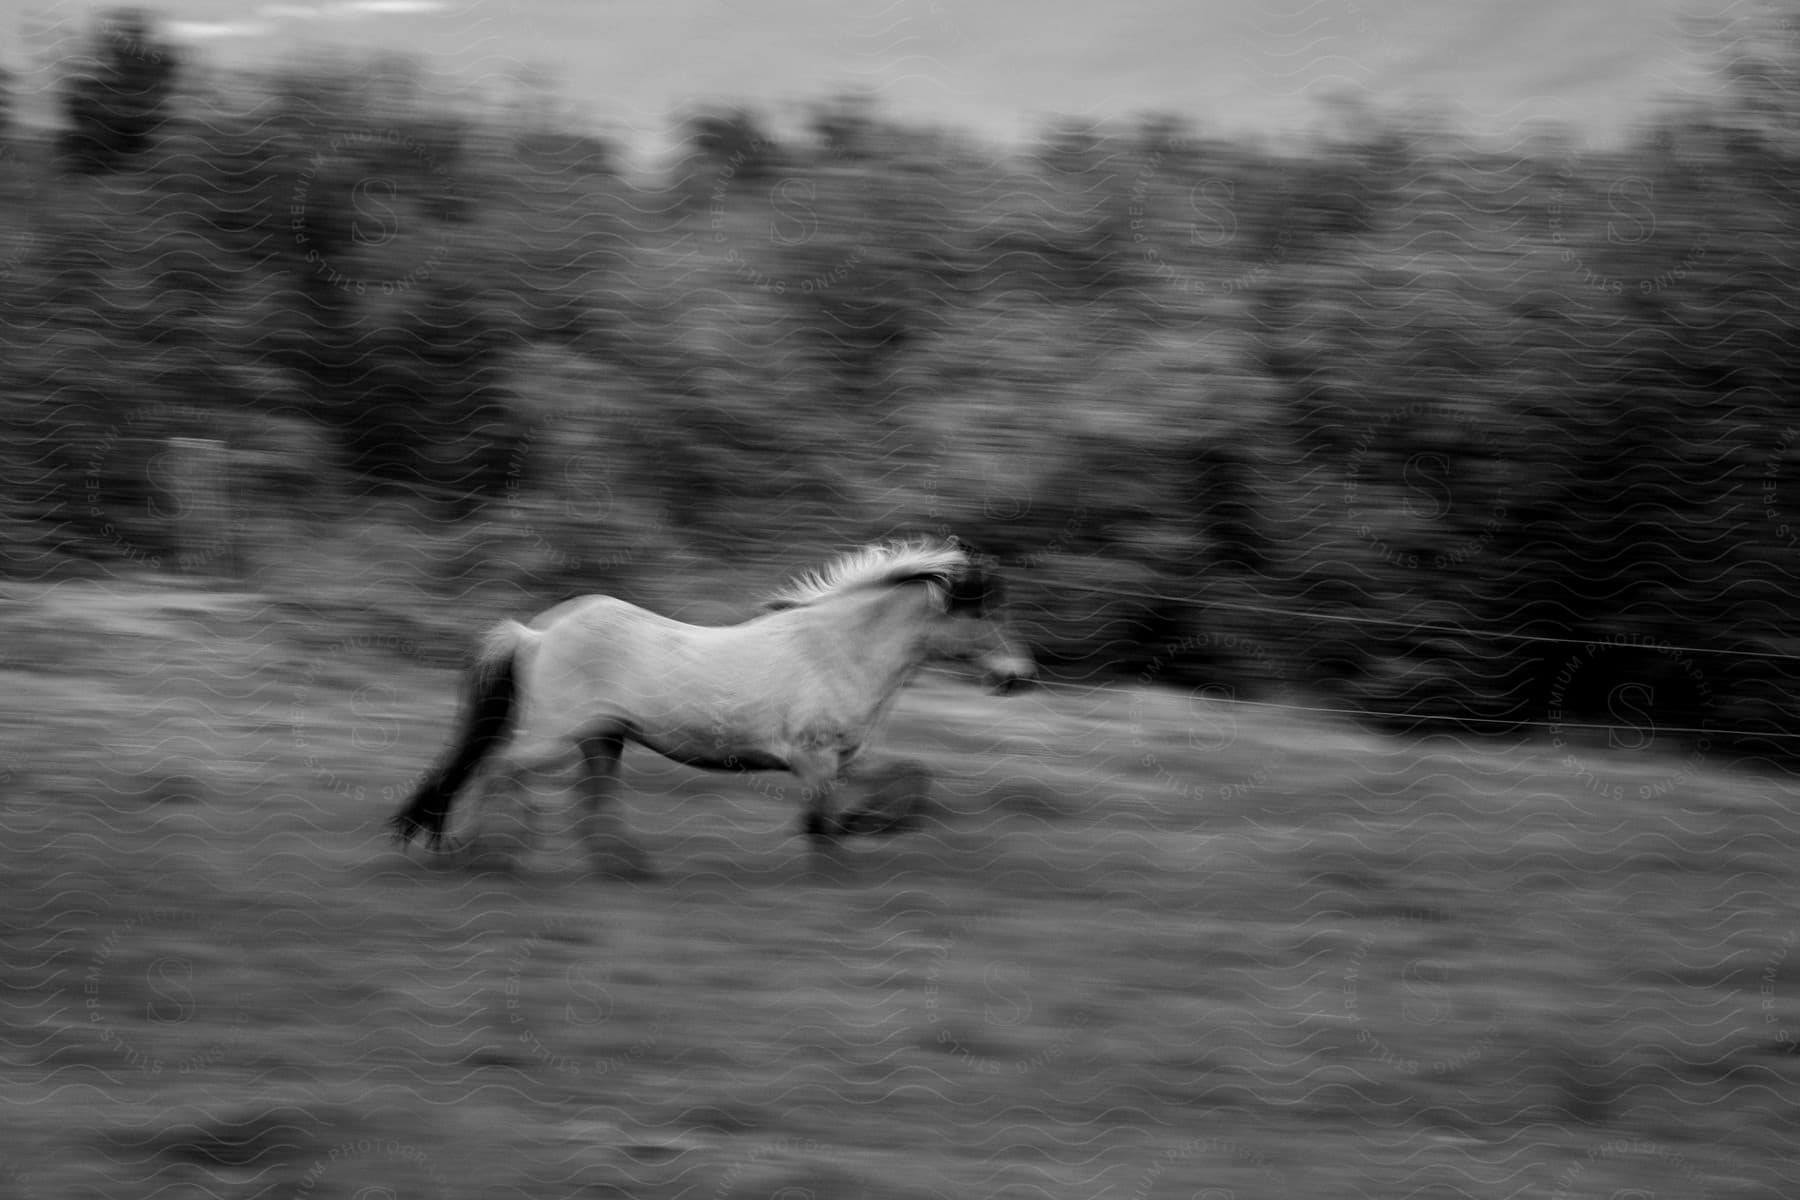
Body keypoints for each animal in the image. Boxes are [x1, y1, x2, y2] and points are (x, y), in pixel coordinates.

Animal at [390, 539, 1044, 877]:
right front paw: (842, 851)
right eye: (981, 613)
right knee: (499, 767)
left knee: (585, 801)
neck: (836, 651)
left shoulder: (844, 757)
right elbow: (822, 823)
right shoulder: (814, 759)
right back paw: (477, 850)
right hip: (557, 734)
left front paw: (873, 825)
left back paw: (624, 865)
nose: (1018, 676)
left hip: (602, 737)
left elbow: (910, 779)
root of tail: (536, 633)